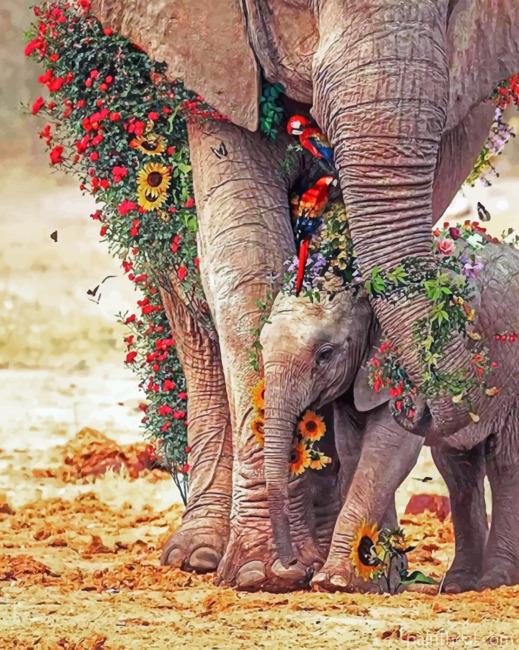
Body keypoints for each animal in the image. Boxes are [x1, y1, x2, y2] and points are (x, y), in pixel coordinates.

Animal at [260, 237, 519, 592]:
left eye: (325, 354)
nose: (292, 567)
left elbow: (386, 452)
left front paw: (333, 580)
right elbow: (355, 453)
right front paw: (376, 583)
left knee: (505, 462)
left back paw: (496, 578)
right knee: (458, 469)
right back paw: (458, 584)